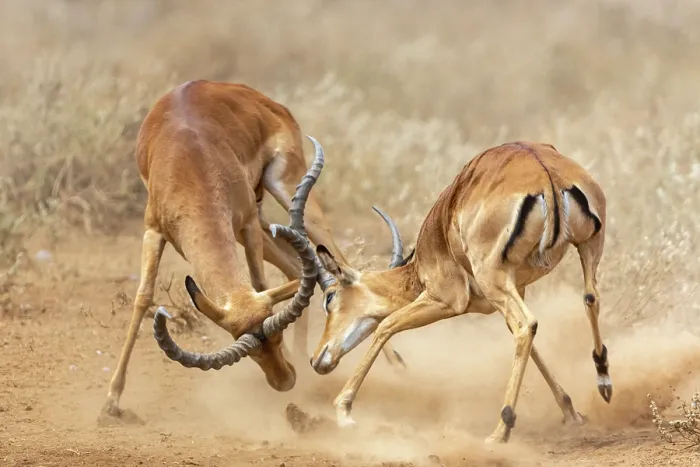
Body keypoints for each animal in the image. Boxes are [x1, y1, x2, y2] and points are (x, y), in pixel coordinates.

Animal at [100, 80, 405, 420]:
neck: (190, 161)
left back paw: (396, 364)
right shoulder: (154, 230)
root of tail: (254, 96)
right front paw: (111, 402)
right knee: (295, 266)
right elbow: (143, 297)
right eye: (248, 350)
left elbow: (260, 283)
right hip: (258, 221)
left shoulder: (245, 222)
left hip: (285, 191)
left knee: (337, 257)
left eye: (276, 334)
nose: (285, 382)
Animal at [309, 141, 611, 444]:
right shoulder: (515, 289)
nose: (316, 358)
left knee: (527, 325)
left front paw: (344, 412)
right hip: (587, 245)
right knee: (589, 298)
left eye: (329, 297)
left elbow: (386, 325)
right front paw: (571, 412)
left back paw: (500, 431)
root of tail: (545, 173)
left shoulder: (444, 299)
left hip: (493, 278)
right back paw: (604, 382)